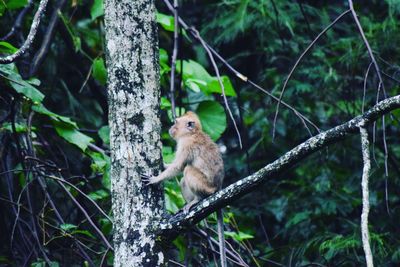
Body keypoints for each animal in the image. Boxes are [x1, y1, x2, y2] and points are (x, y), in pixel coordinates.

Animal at [142, 111, 227, 267]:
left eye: (176, 122)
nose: (170, 127)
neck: (192, 133)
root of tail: (218, 188)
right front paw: (163, 165)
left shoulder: (187, 145)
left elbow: (179, 167)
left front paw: (155, 179)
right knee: (183, 179)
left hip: (206, 187)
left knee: (188, 170)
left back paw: (197, 199)